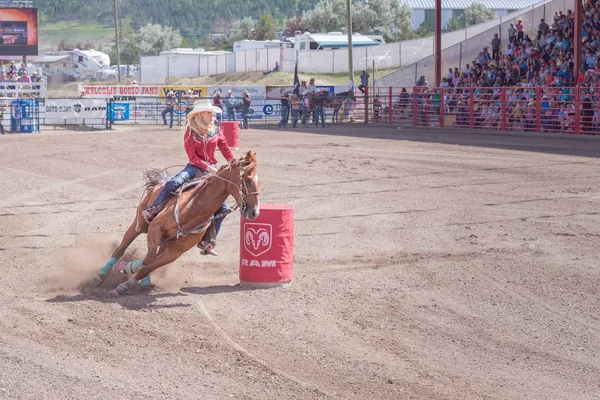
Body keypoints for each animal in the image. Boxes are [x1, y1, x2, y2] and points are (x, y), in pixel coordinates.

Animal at [93, 152, 260, 296]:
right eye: (248, 180)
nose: (254, 212)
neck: (193, 208)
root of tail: (159, 183)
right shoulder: (155, 228)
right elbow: (149, 259)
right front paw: (127, 272)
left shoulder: (176, 251)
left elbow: (150, 265)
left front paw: (127, 280)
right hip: (139, 225)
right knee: (121, 249)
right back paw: (101, 276)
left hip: (165, 243)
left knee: (151, 256)